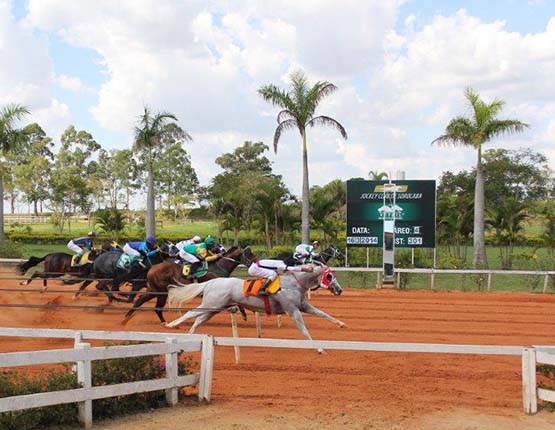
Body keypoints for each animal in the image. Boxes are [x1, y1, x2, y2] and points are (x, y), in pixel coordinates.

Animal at [121, 247, 256, 324]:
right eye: (249, 254)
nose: (256, 263)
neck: (219, 267)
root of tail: (152, 268)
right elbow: (236, 303)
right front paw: (244, 314)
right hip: (161, 291)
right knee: (156, 307)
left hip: (154, 290)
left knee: (142, 301)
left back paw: (126, 318)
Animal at [166, 266, 348, 342]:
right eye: (330, 276)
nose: (339, 290)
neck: (293, 283)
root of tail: (211, 282)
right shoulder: (292, 310)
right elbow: (303, 329)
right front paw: (318, 348)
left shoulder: (303, 306)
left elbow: (323, 314)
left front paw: (342, 324)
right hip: (212, 304)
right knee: (190, 313)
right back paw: (171, 325)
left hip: (215, 308)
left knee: (198, 320)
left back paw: (190, 335)